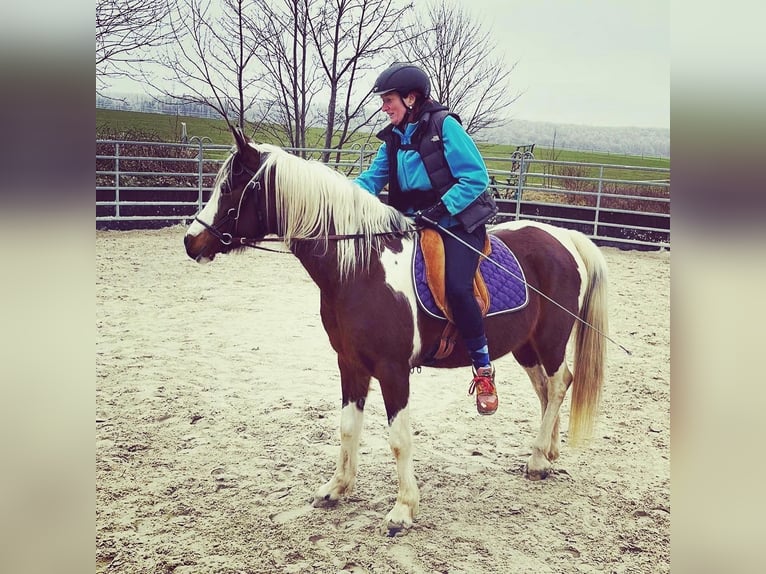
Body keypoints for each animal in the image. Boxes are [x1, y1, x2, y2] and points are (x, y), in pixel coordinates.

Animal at [183, 128, 608, 536]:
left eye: (231, 186)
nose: (190, 241)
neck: (361, 268)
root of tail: (564, 238)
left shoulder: (393, 370)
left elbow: (399, 439)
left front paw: (403, 509)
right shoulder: (350, 364)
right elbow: (347, 428)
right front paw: (336, 488)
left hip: (550, 341)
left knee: (558, 384)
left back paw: (536, 459)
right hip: (525, 346)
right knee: (548, 389)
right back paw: (548, 453)